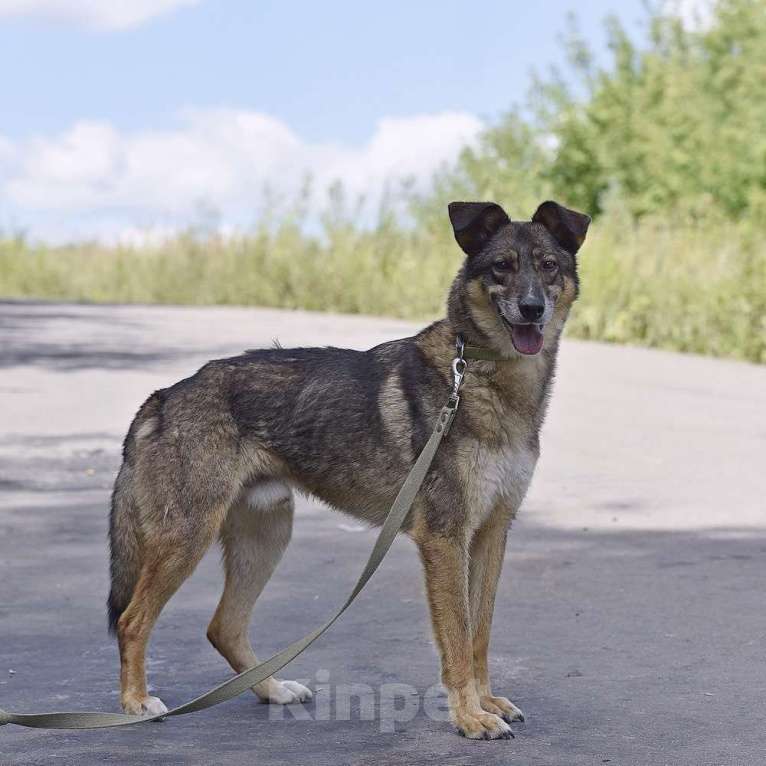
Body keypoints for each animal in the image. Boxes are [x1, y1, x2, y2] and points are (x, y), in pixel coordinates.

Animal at [108, 201, 592, 740]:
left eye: (548, 266)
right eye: (501, 268)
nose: (532, 309)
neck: (482, 378)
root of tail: (164, 396)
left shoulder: (491, 534)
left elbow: (479, 635)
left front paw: (486, 702)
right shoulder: (445, 539)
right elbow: (458, 641)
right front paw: (469, 717)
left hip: (266, 537)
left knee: (223, 627)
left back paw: (273, 691)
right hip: (188, 539)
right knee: (133, 622)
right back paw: (136, 701)